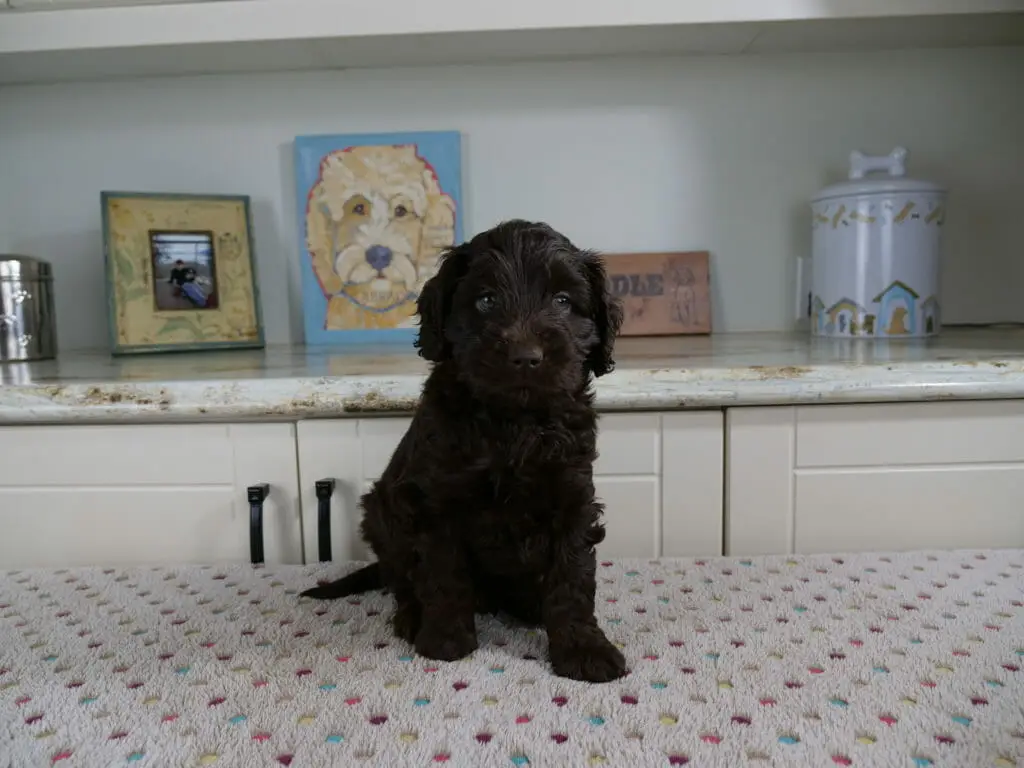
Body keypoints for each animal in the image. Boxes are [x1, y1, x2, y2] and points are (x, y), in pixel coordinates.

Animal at [299, 219, 626, 684]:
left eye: (563, 301)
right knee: (401, 579)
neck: (514, 422)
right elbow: (444, 571)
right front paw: (446, 639)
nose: (526, 357)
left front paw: (584, 648)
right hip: (381, 513)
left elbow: (573, 575)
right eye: (486, 300)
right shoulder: (439, 498)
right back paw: (413, 617)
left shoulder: (573, 497)